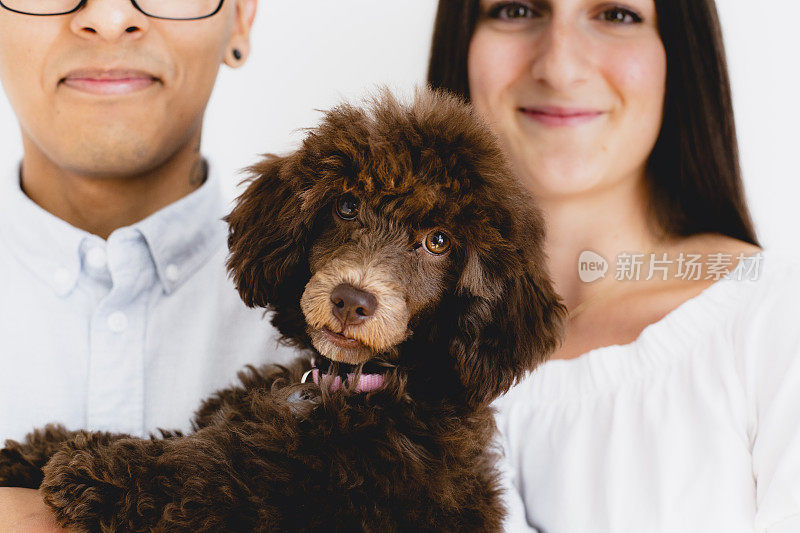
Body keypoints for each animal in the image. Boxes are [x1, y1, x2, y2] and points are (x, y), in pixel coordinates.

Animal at [0, 89, 564, 528]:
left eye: (439, 241)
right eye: (346, 206)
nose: (351, 300)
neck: (346, 387)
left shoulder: (309, 494)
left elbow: (211, 472)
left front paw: (95, 468)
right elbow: (188, 438)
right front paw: (34, 450)